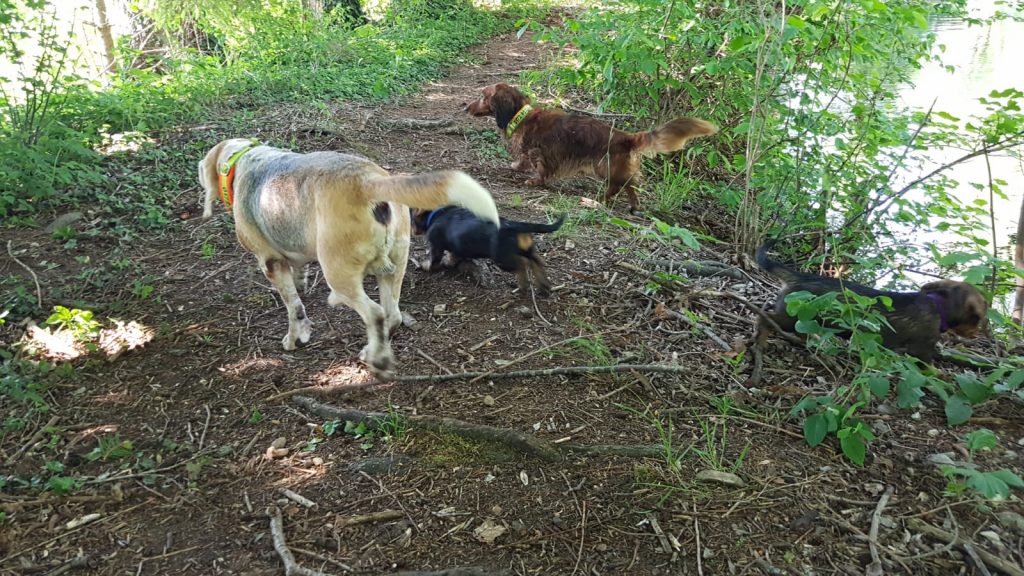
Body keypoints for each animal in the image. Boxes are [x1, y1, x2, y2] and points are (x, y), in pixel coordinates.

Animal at [197, 136, 497, 375]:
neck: (241, 161)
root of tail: (369, 181)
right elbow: (299, 276)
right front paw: (302, 284)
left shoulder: (270, 263)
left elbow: (294, 307)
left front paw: (294, 339)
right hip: (395, 267)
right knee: (392, 316)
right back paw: (372, 349)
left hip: (339, 274)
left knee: (374, 313)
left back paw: (376, 358)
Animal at [409, 206, 565, 293]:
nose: (412, 231)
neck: (435, 214)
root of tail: (515, 225)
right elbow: (454, 255)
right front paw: (450, 262)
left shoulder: (436, 246)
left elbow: (434, 260)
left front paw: (426, 266)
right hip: (526, 249)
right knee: (536, 260)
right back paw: (543, 285)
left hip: (502, 258)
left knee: (524, 264)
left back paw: (524, 285)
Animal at [749, 239, 987, 383]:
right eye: (978, 319)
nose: (977, 335)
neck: (938, 306)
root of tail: (799, 276)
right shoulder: (922, 349)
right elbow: (929, 366)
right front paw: (943, 375)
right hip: (793, 316)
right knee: (765, 318)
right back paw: (761, 340)